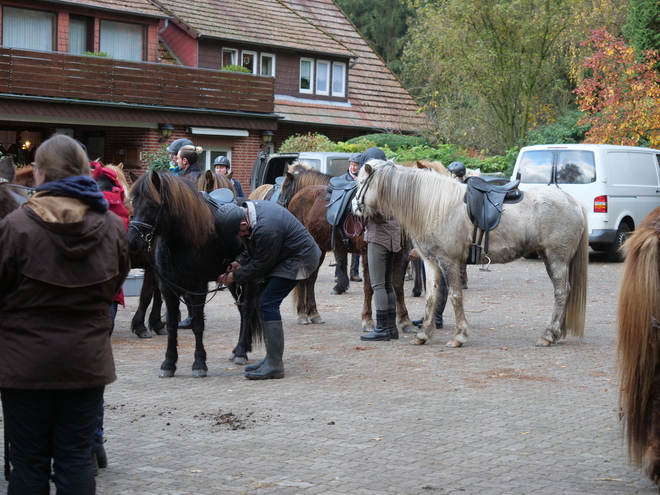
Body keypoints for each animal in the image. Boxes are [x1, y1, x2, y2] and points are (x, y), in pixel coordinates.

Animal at [129, 172, 262, 378]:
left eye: (152, 205)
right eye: (133, 203)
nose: (132, 241)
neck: (181, 241)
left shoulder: (198, 287)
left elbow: (198, 324)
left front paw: (199, 364)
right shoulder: (168, 287)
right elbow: (172, 325)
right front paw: (168, 363)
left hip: (250, 279)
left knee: (247, 311)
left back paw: (241, 351)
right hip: (233, 280)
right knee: (241, 311)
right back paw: (240, 348)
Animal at [354, 162, 592, 348]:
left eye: (360, 182)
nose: (354, 208)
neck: (435, 206)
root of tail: (575, 203)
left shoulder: (449, 262)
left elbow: (455, 296)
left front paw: (459, 336)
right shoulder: (431, 263)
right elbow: (432, 297)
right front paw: (423, 334)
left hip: (556, 259)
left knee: (561, 292)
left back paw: (548, 335)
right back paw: (558, 333)